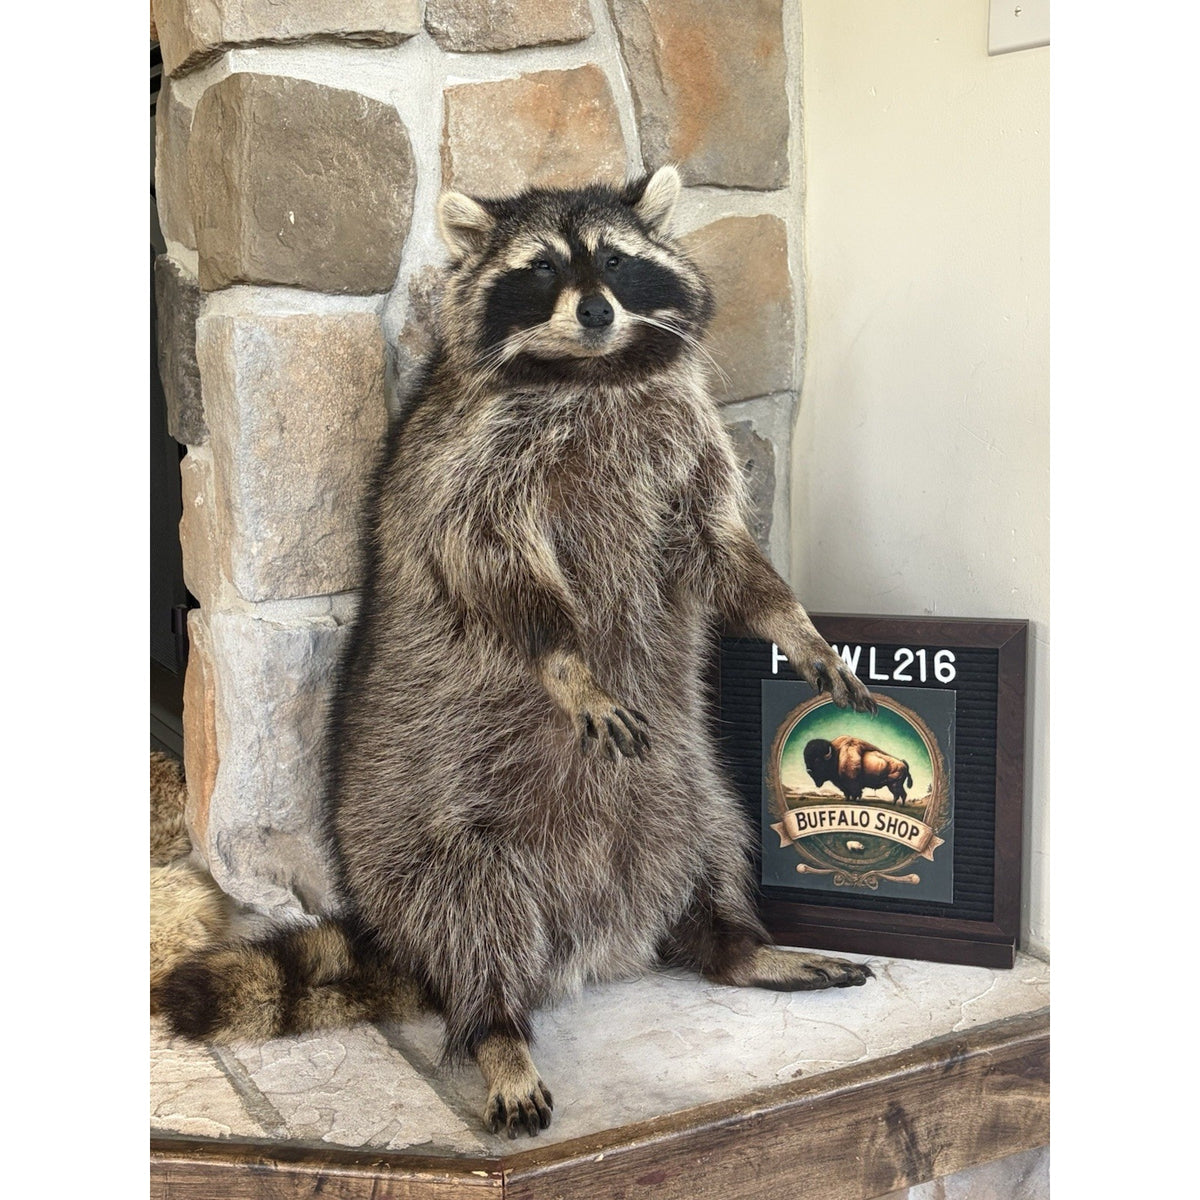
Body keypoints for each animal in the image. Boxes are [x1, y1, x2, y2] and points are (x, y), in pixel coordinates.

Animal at [159, 166, 875, 1138]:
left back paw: (733, 942)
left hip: (686, 787)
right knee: (472, 919)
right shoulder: (469, 465)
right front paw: (568, 663)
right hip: (434, 837)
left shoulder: (685, 441)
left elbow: (723, 548)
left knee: (716, 840)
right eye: (541, 271)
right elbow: (497, 571)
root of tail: (590, 940)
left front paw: (790, 619)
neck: (592, 370)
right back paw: (497, 1027)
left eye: (615, 260)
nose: (599, 311)